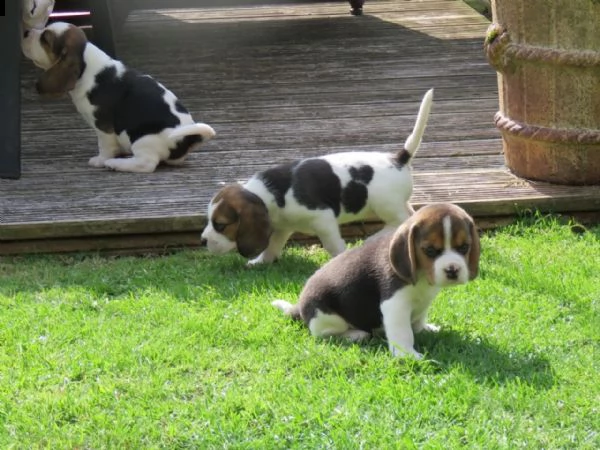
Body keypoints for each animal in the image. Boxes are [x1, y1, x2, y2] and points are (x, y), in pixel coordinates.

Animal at [22, 21, 217, 173]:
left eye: (45, 39)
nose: (25, 32)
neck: (87, 63)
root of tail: (188, 138)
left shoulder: (103, 127)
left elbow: (105, 146)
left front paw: (100, 160)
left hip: (142, 138)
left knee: (146, 164)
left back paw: (114, 164)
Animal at [200, 89, 432, 264]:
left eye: (220, 225)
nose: (202, 241)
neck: (267, 195)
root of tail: (398, 158)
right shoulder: (282, 227)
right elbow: (272, 245)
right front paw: (261, 262)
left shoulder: (323, 220)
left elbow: (332, 245)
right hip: (396, 204)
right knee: (410, 216)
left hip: (384, 205)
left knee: (401, 221)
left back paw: (373, 239)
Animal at [274, 203, 480, 358]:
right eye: (429, 250)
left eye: (464, 247)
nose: (452, 270)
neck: (422, 276)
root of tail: (300, 307)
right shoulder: (395, 304)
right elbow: (403, 332)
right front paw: (408, 356)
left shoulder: (423, 302)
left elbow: (419, 319)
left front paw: (424, 329)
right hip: (327, 318)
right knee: (323, 334)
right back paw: (355, 334)